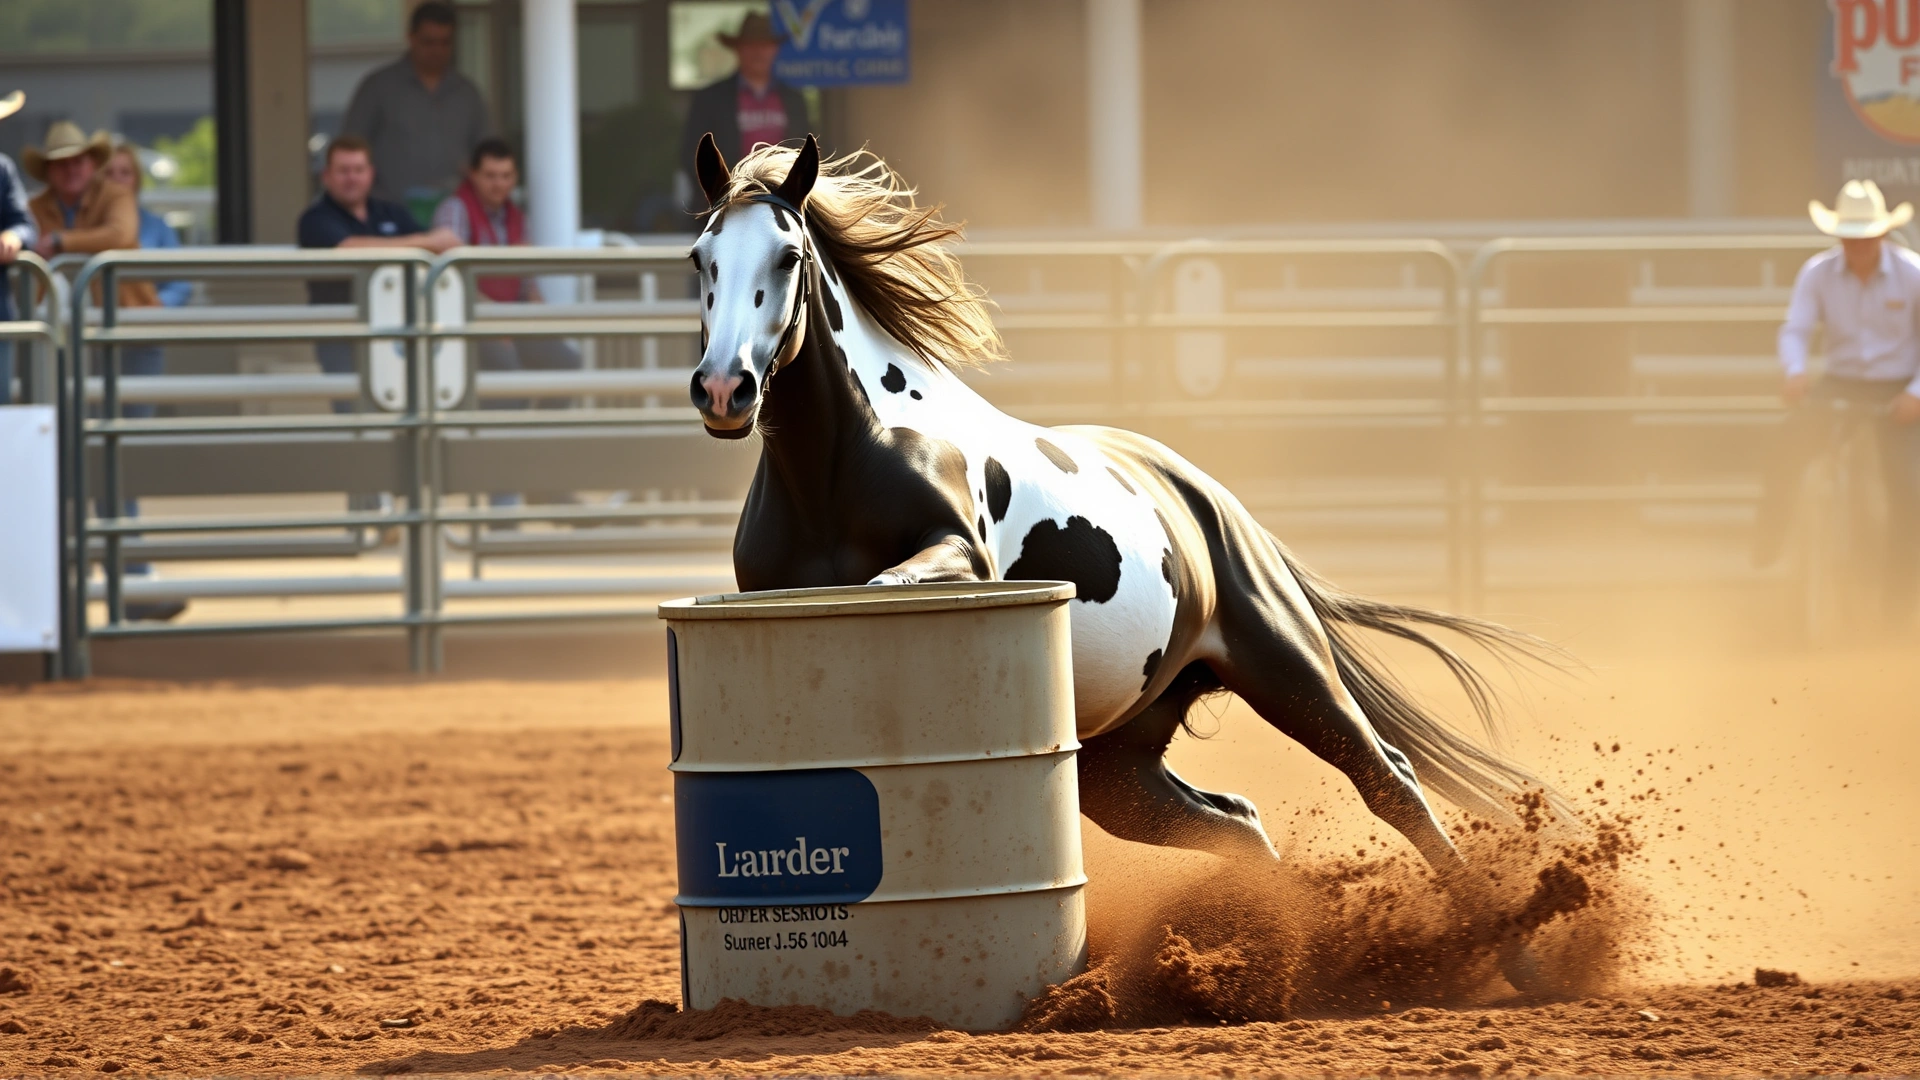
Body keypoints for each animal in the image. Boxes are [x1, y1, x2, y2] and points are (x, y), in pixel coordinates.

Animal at [685, 133, 1566, 991]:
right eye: (701, 257)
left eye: (788, 255)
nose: (725, 388)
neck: (842, 462)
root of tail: (1212, 501)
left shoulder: (963, 555)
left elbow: (891, 577)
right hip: (1119, 769)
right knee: (1239, 824)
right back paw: (1264, 954)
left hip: (1288, 670)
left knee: (1391, 782)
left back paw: (1515, 955)